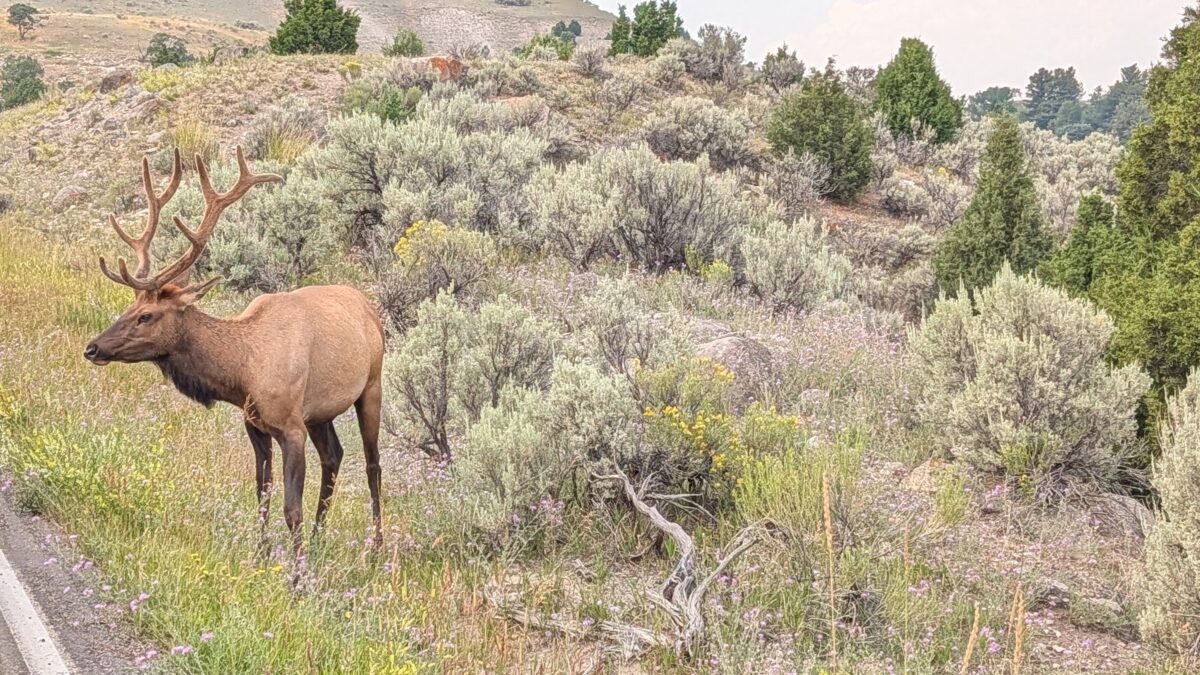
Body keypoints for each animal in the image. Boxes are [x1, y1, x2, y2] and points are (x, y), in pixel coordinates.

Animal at [83, 147, 386, 556]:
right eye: (130, 307)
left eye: (146, 315)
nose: (93, 347)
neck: (244, 373)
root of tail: (370, 308)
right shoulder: (254, 423)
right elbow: (262, 493)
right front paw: (261, 553)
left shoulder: (291, 426)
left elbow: (291, 508)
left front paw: (297, 568)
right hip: (320, 412)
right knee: (334, 456)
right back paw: (320, 538)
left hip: (371, 385)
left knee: (372, 465)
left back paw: (377, 549)